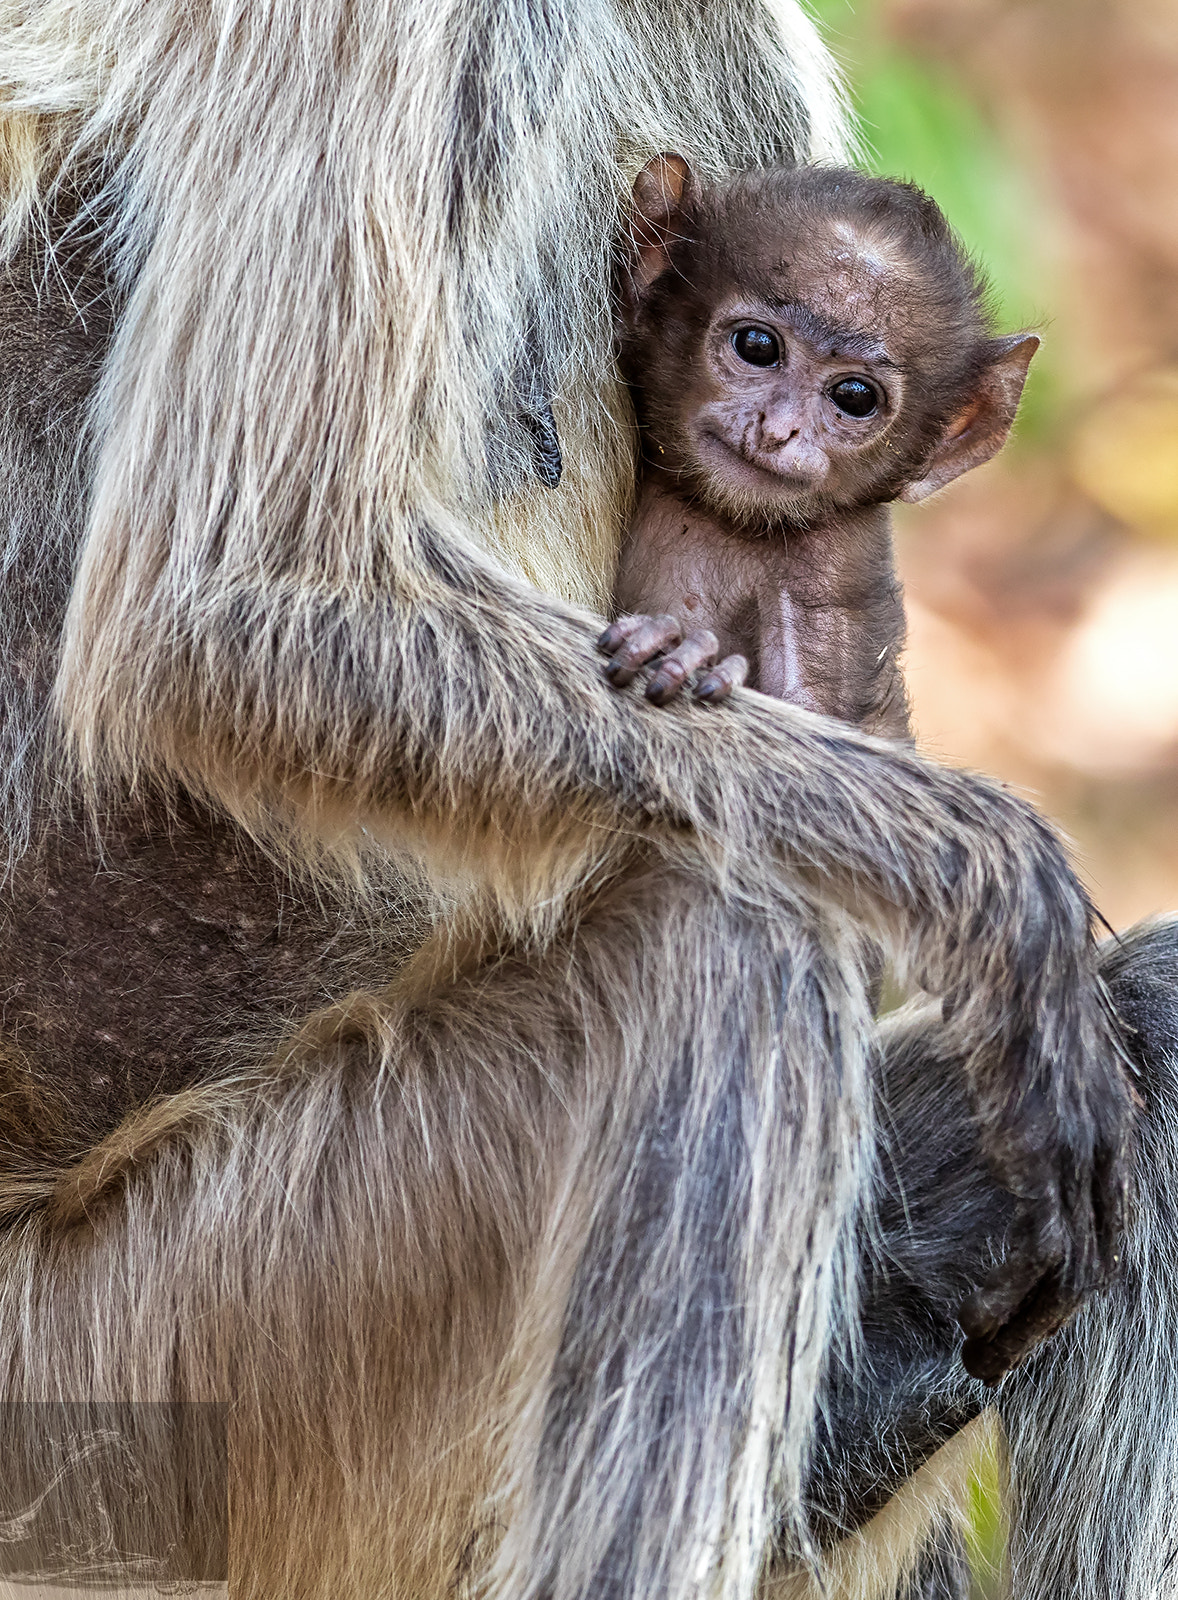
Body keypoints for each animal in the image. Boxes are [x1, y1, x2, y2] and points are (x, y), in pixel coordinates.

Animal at [601, 156, 1037, 732]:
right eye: (757, 346)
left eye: (854, 397)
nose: (778, 428)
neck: (719, 514)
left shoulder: (834, 572)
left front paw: (679, 653)